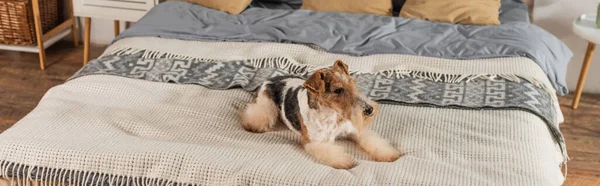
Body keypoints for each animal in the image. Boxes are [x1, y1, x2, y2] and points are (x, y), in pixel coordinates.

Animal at [238, 60, 398, 169]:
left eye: (352, 82)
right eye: (337, 90)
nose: (369, 109)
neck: (332, 115)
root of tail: (269, 79)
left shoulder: (354, 131)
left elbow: (375, 142)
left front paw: (389, 154)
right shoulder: (317, 143)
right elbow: (333, 153)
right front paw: (346, 162)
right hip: (265, 107)